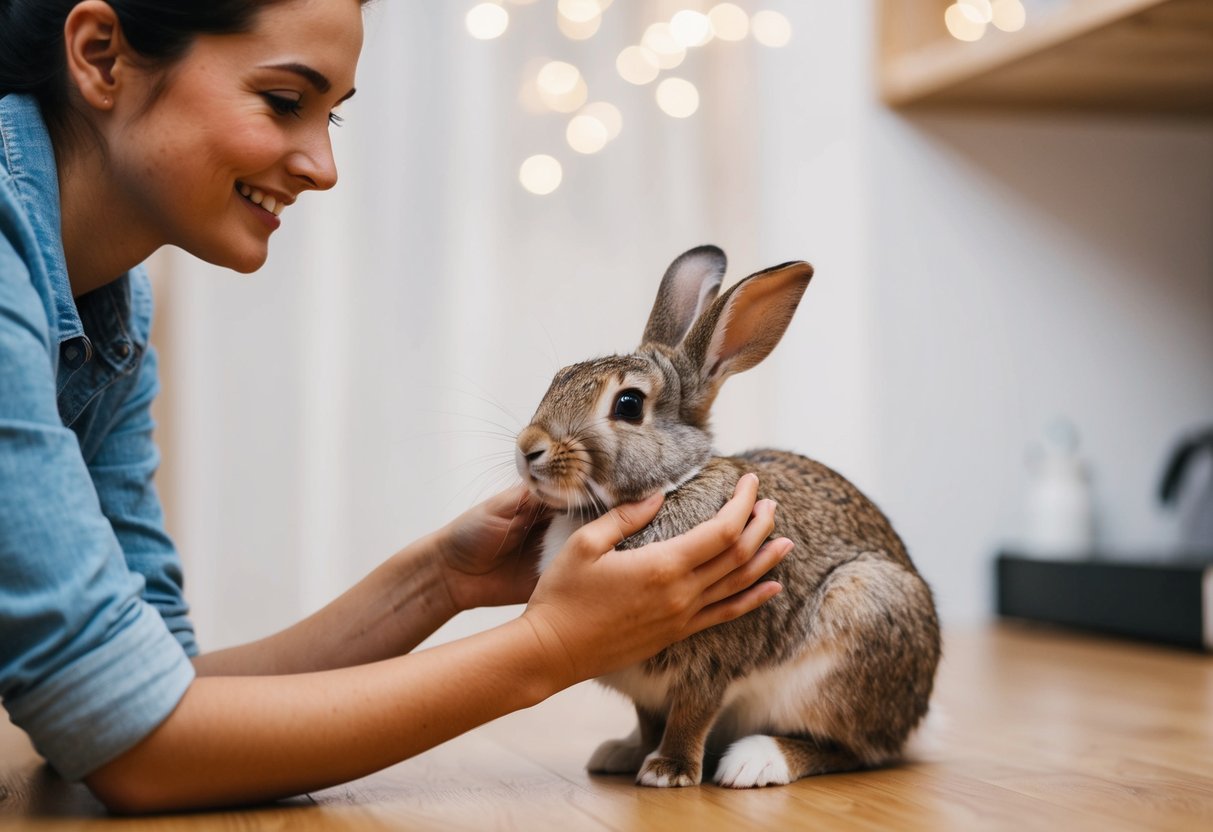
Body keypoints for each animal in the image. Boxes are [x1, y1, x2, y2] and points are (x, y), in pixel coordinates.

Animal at [514, 245, 941, 789]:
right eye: (559, 377)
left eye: (628, 405)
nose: (528, 448)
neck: (672, 484)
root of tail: (915, 714)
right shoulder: (644, 687)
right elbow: (649, 720)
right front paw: (635, 754)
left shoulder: (711, 662)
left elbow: (691, 715)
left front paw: (668, 771)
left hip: (856, 634)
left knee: (852, 750)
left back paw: (755, 762)